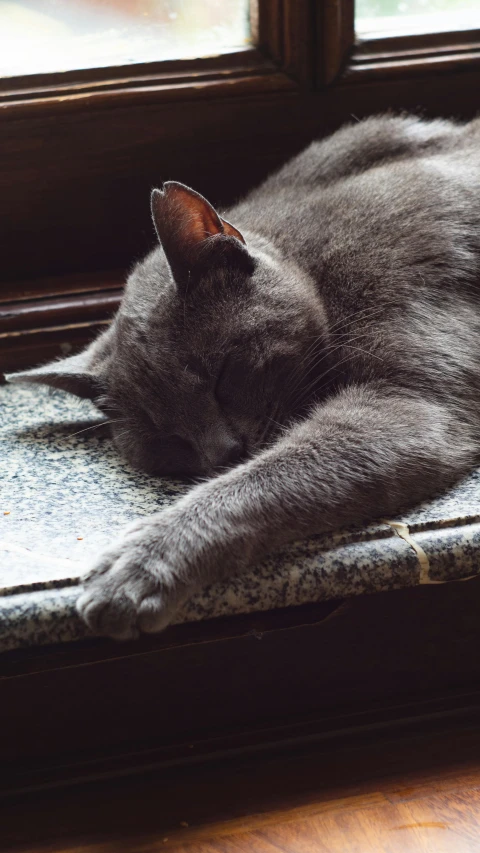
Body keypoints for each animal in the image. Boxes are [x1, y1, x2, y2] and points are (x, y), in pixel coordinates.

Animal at [6, 113, 480, 636]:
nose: (224, 452)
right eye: (166, 438)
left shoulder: (409, 397)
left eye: (223, 376)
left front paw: (138, 564)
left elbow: (269, 477)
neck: (311, 257)